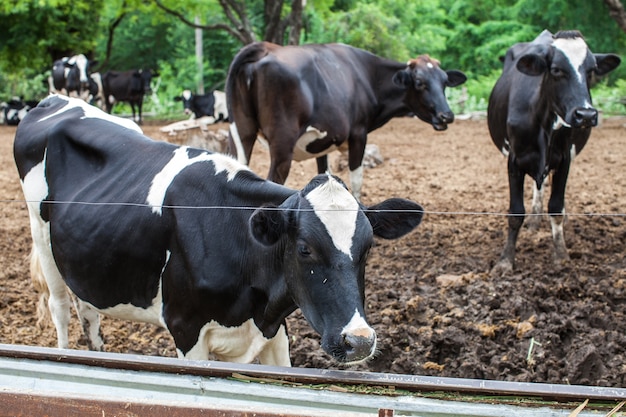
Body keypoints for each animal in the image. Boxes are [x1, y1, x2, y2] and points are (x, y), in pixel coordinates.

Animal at [14, 93, 424, 364]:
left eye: (368, 248)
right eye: (305, 248)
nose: (360, 341)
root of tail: (55, 99)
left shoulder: (274, 332)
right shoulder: (186, 329)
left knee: (88, 307)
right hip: (41, 236)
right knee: (61, 307)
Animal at [224, 41, 464, 199]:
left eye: (444, 81)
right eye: (420, 82)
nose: (447, 115)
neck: (367, 75)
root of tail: (265, 47)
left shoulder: (321, 142)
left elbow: (323, 177)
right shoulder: (358, 133)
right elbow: (356, 179)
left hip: (241, 133)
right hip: (283, 143)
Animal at [486, 30, 616, 274]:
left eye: (591, 71)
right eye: (556, 70)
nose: (585, 115)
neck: (544, 121)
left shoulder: (564, 160)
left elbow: (556, 208)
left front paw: (561, 256)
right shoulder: (514, 160)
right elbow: (515, 212)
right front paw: (505, 261)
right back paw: (534, 221)